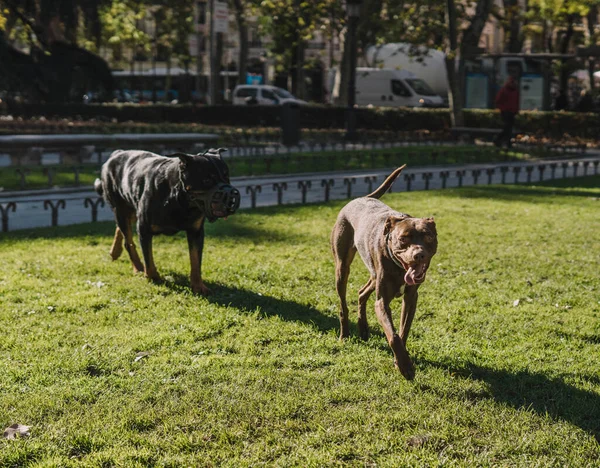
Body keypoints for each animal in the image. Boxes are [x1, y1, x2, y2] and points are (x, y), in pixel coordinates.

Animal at [95, 148, 240, 294]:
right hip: (120, 208)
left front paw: (198, 285)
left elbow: (195, 260)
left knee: (121, 228)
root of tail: (117, 152)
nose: (230, 194)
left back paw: (115, 251)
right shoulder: (144, 228)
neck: (179, 200)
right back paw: (138, 267)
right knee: (128, 240)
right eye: (207, 180)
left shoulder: (196, 231)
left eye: (226, 176)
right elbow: (148, 257)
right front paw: (153, 277)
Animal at [330, 165, 438, 380]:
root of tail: (361, 197)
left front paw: (400, 361)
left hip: (374, 274)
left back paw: (363, 329)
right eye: (404, 238)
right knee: (343, 304)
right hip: (342, 267)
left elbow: (403, 331)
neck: (399, 268)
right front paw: (406, 367)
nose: (419, 255)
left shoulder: (411, 297)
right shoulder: (382, 302)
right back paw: (345, 334)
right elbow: (393, 335)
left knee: (362, 293)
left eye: (428, 237)